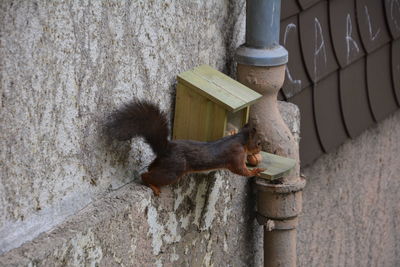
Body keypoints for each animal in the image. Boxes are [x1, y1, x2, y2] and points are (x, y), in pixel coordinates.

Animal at [105, 100, 266, 197]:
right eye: (258, 143)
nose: (259, 150)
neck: (240, 140)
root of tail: (167, 148)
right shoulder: (236, 155)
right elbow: (241, 170)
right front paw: (256, 171)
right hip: (173, 170)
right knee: (146, 175)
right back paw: (153, 186)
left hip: (164, 164)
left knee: (151, 168)